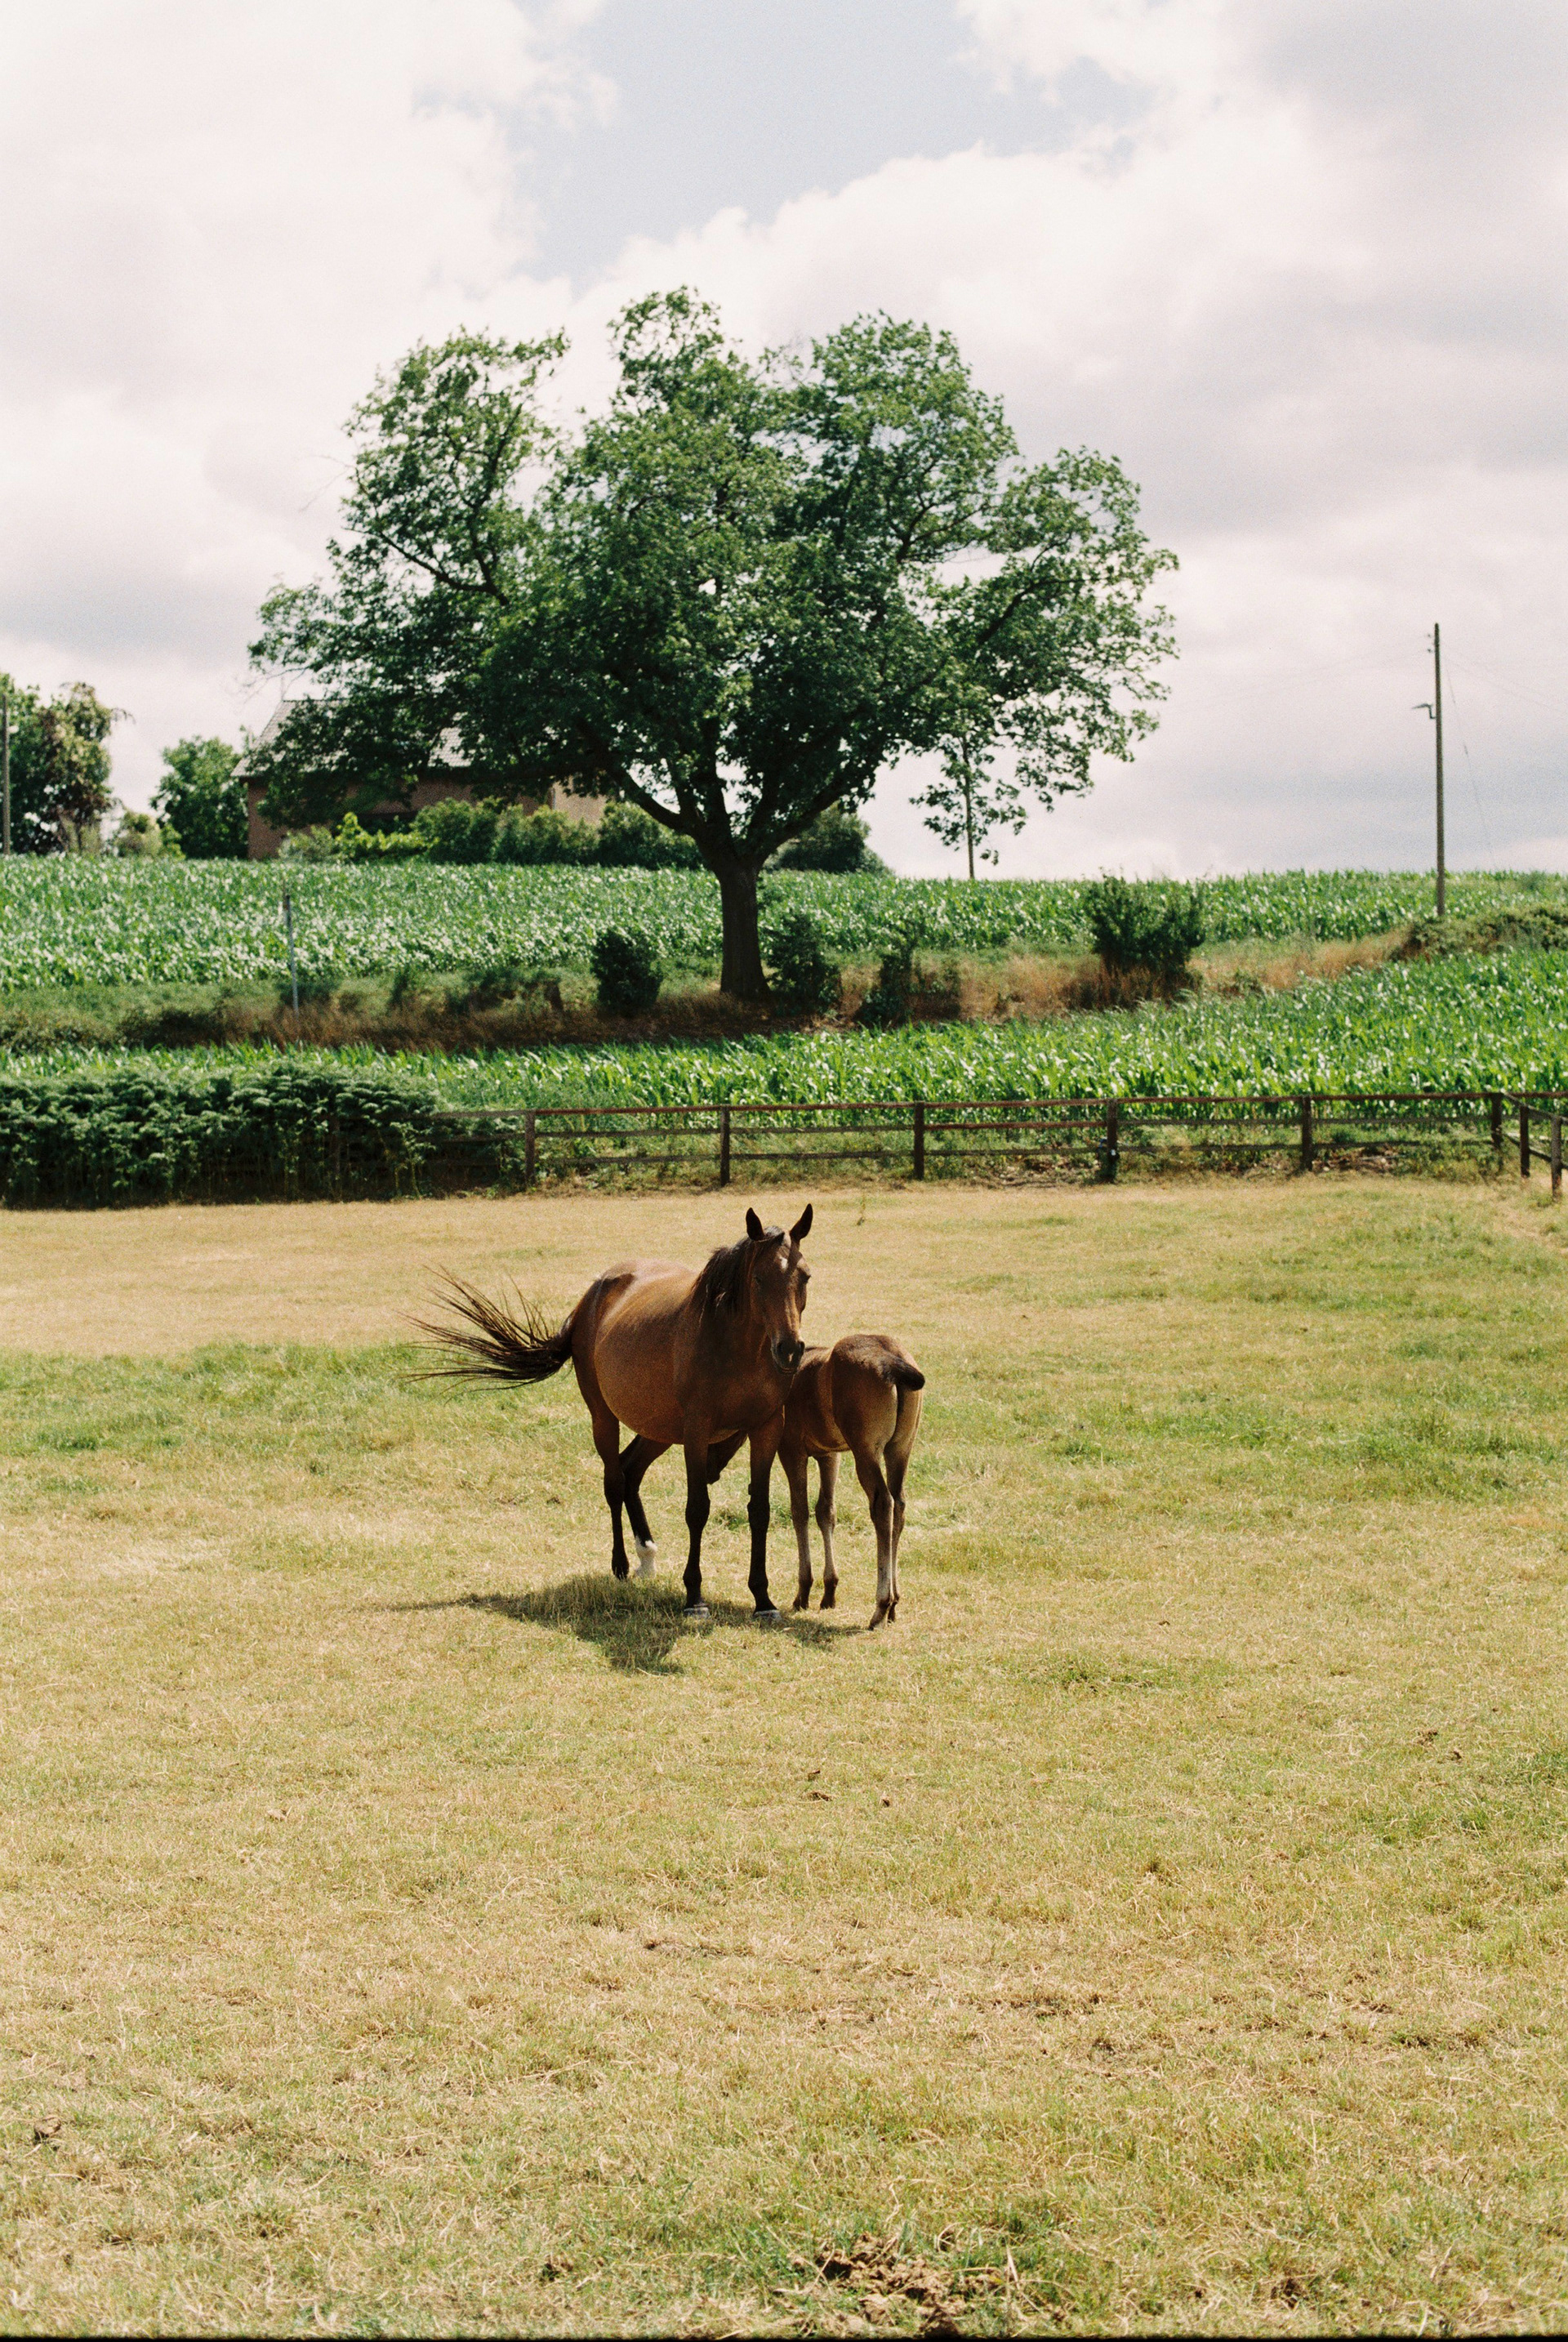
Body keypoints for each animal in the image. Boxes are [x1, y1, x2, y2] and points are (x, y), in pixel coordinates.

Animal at [420, 1205, 814, 1622]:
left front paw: (763, 1599)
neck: (736, 1346)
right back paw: (622, 1565)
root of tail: (588, 1300)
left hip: (658, 1428)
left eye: (804, 1276)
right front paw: (694, 1597)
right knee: (613, 1480)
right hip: (604, 1418)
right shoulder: (696, 1430)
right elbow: (697, 1509)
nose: (790, 1350)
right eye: (758, 1278)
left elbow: (760, 1511)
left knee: (631, 1471)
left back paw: (647, 1554)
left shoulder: (766, 1428)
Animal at [779, 1333, 924, 1628]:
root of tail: (891, 1357)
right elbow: (826, 1511)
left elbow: (799, 1512)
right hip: (901, 1449)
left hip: (866, 1450)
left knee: (883, 1504)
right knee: (899, 1505)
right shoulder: (829, 1454)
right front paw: (829, 1591)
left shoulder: (791, 1451)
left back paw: (881, 1606)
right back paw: (894, 1605)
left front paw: (803, 1592)